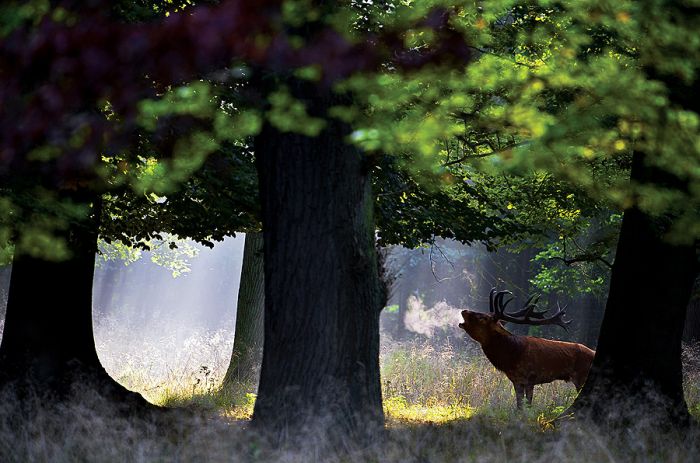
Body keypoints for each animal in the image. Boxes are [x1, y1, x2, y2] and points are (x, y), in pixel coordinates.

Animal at [460, 290, 596, 410]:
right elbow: (519, 405)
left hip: (582, 377)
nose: (464, 310)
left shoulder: (530, 378)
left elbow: (528, 405)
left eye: (483, 318)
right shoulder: (516, 380)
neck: (511, 357)